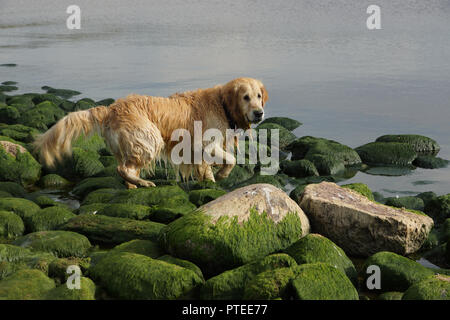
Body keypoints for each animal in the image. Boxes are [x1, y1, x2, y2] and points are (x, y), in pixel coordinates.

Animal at [35, 77, 268, 188]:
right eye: (246, 97)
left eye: (259, 96)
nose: (259, 113)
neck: (222, 104)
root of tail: (111, 108)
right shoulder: (202, 143)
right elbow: (230, 159)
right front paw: (221, 176)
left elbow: (207, 168)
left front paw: (211, 180)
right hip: (149, 137)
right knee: (122, 168)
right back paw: (144, 183)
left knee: (128, 169)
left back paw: (135, 184)